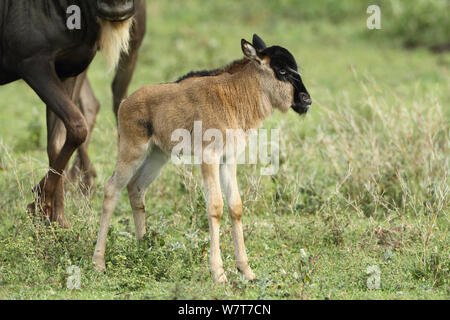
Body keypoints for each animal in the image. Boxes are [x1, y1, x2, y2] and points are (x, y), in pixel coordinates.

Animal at [93, 33, 312, 282]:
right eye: (282, 70)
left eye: (295, 68)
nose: (306, 100)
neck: (235, 94)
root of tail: (125, 102)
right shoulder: (209, 158)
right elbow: (215, 206)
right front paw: (218, 272)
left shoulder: (229, 159)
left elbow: (235, 206)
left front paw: (246, 270)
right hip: (132, 152)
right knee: (111, 189)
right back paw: (98, 263)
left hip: (158, 156)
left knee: (136, 188)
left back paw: (143, 251)